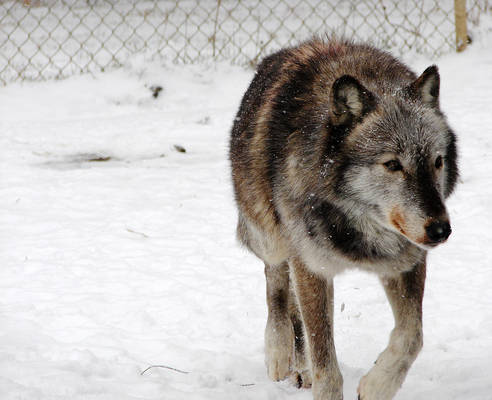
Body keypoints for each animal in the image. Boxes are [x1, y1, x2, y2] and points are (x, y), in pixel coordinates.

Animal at [229, 36, 460, 398]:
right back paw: (279, 351)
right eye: (392, 164)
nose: (440, 230)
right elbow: (326, 365)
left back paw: (300, 368)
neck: (356, 222)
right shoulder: (310, 265)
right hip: (270, 237)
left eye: (437, 162)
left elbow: (412, 336)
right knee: (276, 281)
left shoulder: (406, 259)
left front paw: (378, 385)